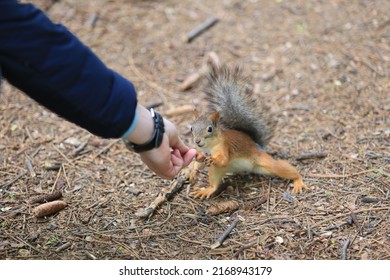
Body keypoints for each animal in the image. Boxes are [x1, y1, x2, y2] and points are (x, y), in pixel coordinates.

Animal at [190, 63, 308, 199]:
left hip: (264, 161)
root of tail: (256, 145)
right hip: (217, 170)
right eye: (191, 128)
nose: (197, 141)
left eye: (210, 129)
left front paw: (212, 159)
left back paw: (298, 181)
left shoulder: (224, 147)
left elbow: (223, 160)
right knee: (214, 184)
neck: (209, 146)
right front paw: (192, 170)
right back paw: (207, 190)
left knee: (281, 168)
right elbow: (198, 161)